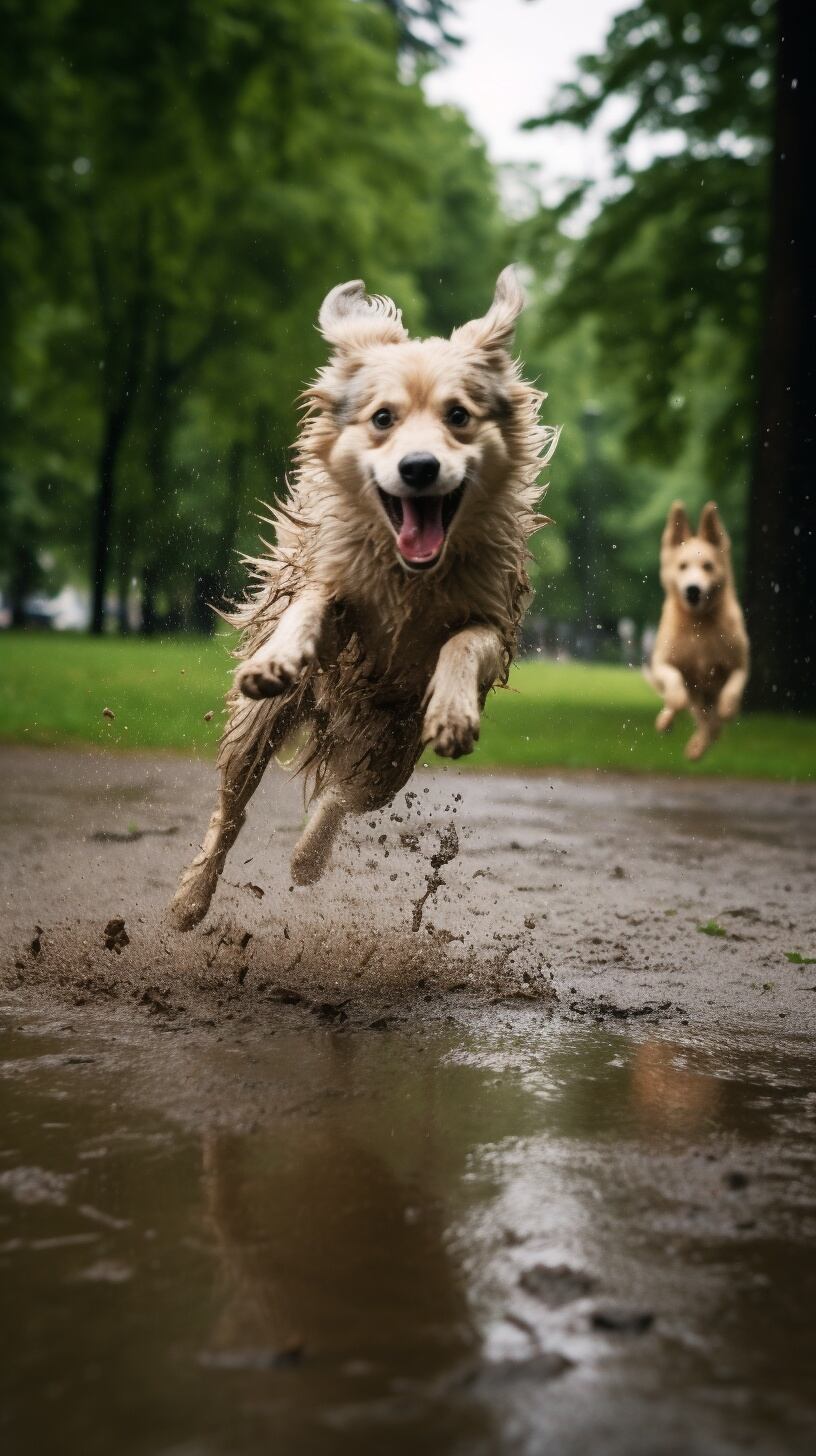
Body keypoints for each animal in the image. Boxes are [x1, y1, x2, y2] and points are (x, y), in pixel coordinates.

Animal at [169, 270, 556, 931]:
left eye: (459, 415)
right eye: (382, 418)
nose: (419, 467)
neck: (411, 577)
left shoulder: (490, 618)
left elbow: (461, 645)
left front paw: (454, 710)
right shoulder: (333, 588)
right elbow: (311, 606)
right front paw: (280, 656)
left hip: (391, 751)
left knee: (343, 795)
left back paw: (307, 856)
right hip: (263, 726)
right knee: (232, 807)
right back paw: (192, 897)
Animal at [646, 500, 751, 762]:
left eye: (708, 566)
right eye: (682, 566)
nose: (692, 590)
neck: (699, 624)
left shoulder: (740, 664)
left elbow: (731, 692)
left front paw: (727, 709)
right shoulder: (663, 662)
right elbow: (674, 687)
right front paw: (673, 706)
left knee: (710, 724)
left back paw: (698, 745)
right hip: (695, 695)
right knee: (688, 710)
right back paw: (667, 722)